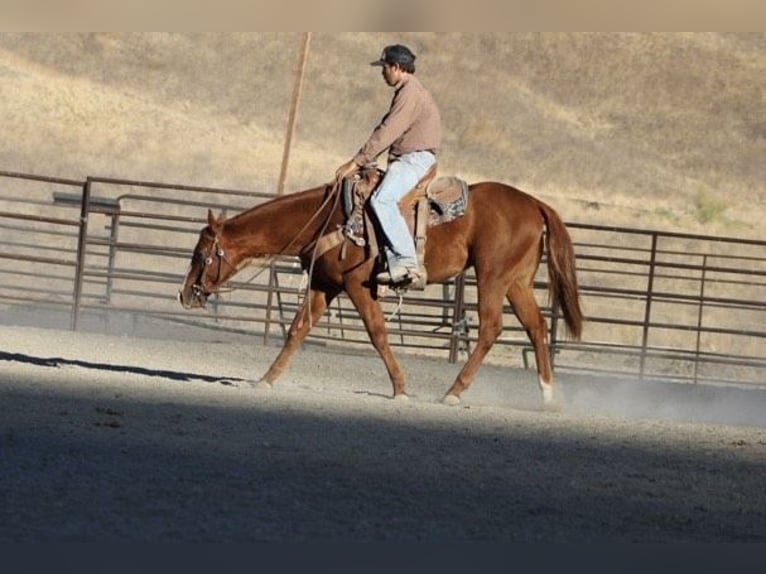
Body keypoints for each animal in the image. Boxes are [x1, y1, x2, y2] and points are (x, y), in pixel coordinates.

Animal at [178, 178, 583, 407]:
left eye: (200, 254)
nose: (185, 295)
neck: (327, 219)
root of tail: (535, 204)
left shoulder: (358, 285)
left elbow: (377, 333)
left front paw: (400, 389)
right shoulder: (325, 284)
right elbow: (297, 331)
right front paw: (266, 380)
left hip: (492, 277)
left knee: (490, 329)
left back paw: (453, 392)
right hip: (517, 281)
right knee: (537, 328)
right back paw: (547, 396)